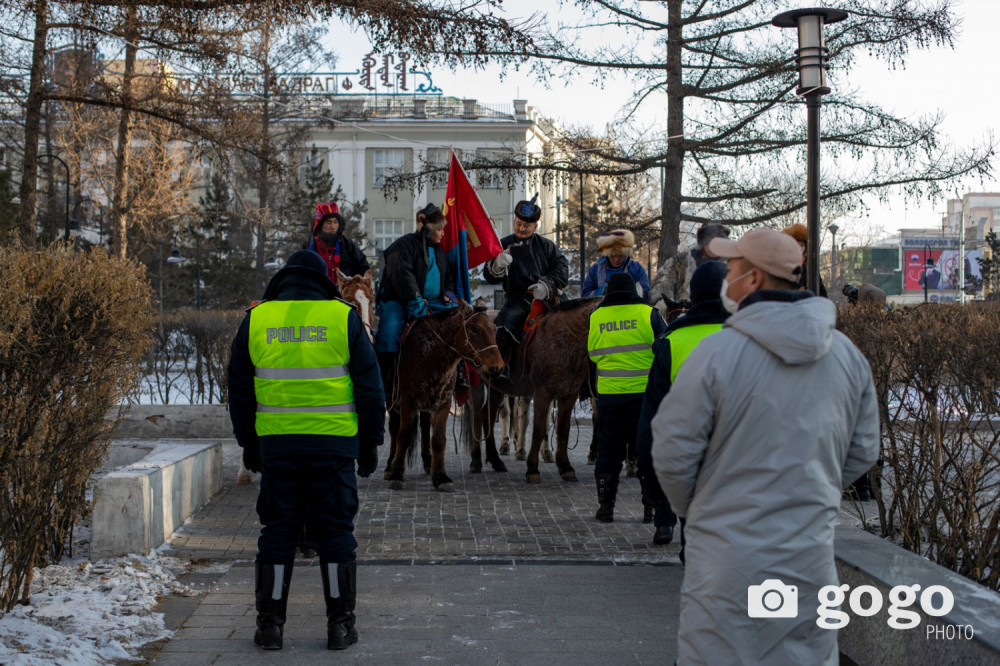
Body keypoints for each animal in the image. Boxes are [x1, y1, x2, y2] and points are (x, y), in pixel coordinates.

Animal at [384, 304, 504, 490]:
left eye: (494, 329)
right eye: (474, 329)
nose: (496, 367)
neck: (430, 355)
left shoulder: (444, 401)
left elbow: (438, 439)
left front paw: (440, 476)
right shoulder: (407, 401)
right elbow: (403, 436)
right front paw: (396, 474)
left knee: (425, 426)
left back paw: (428, 462)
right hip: (393, 399)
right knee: (394, 427)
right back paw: (390, 465)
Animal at [478, 298, 600, 480]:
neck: (564, 338)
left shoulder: (569, 393)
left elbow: (563, 429)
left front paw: (565, 466)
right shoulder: (542, 392)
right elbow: (538, 427)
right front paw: (532, 468)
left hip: (496, 389)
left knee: (489, 417)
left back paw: (495, 460)